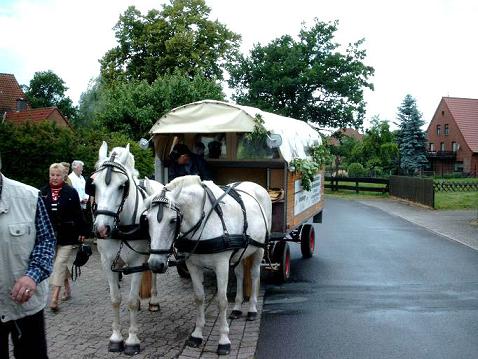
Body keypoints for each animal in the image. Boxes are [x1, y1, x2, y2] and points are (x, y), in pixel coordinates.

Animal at [92, 141, 165, 358]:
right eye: (93, 184)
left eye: (121, 186)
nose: (102, 229)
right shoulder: (107, 263)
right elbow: (115, 299)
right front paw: (116, 338)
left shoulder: (137, 262)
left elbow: (131, 300)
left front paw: (132, 341)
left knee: (154, 274)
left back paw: (153, 301)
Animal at [145, 176, 272, 356]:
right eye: (147, 219)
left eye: (173, 220)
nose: (155, 264)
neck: (204, 220)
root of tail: (256, 186)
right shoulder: (193, 266)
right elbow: (199, 298)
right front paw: (197, 335)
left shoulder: (221, 265)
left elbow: (222, 301)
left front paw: (224, 340)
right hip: (241, 252)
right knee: (240, 274)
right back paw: (237, 308)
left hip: (259, 249)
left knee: (254, 275)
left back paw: (252, 309)